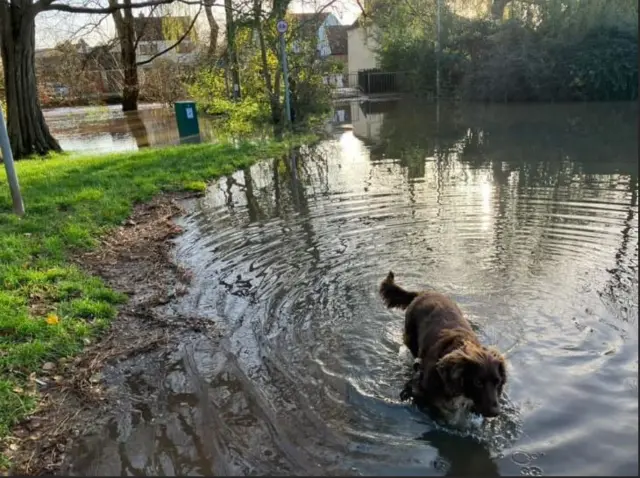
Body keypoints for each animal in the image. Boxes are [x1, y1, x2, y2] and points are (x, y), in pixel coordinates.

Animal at [378, 270, 508, 420]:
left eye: (497, 382)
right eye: (478, 382)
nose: (495, 412)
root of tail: (423, 293)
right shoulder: (423, 390)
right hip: (411, 339)